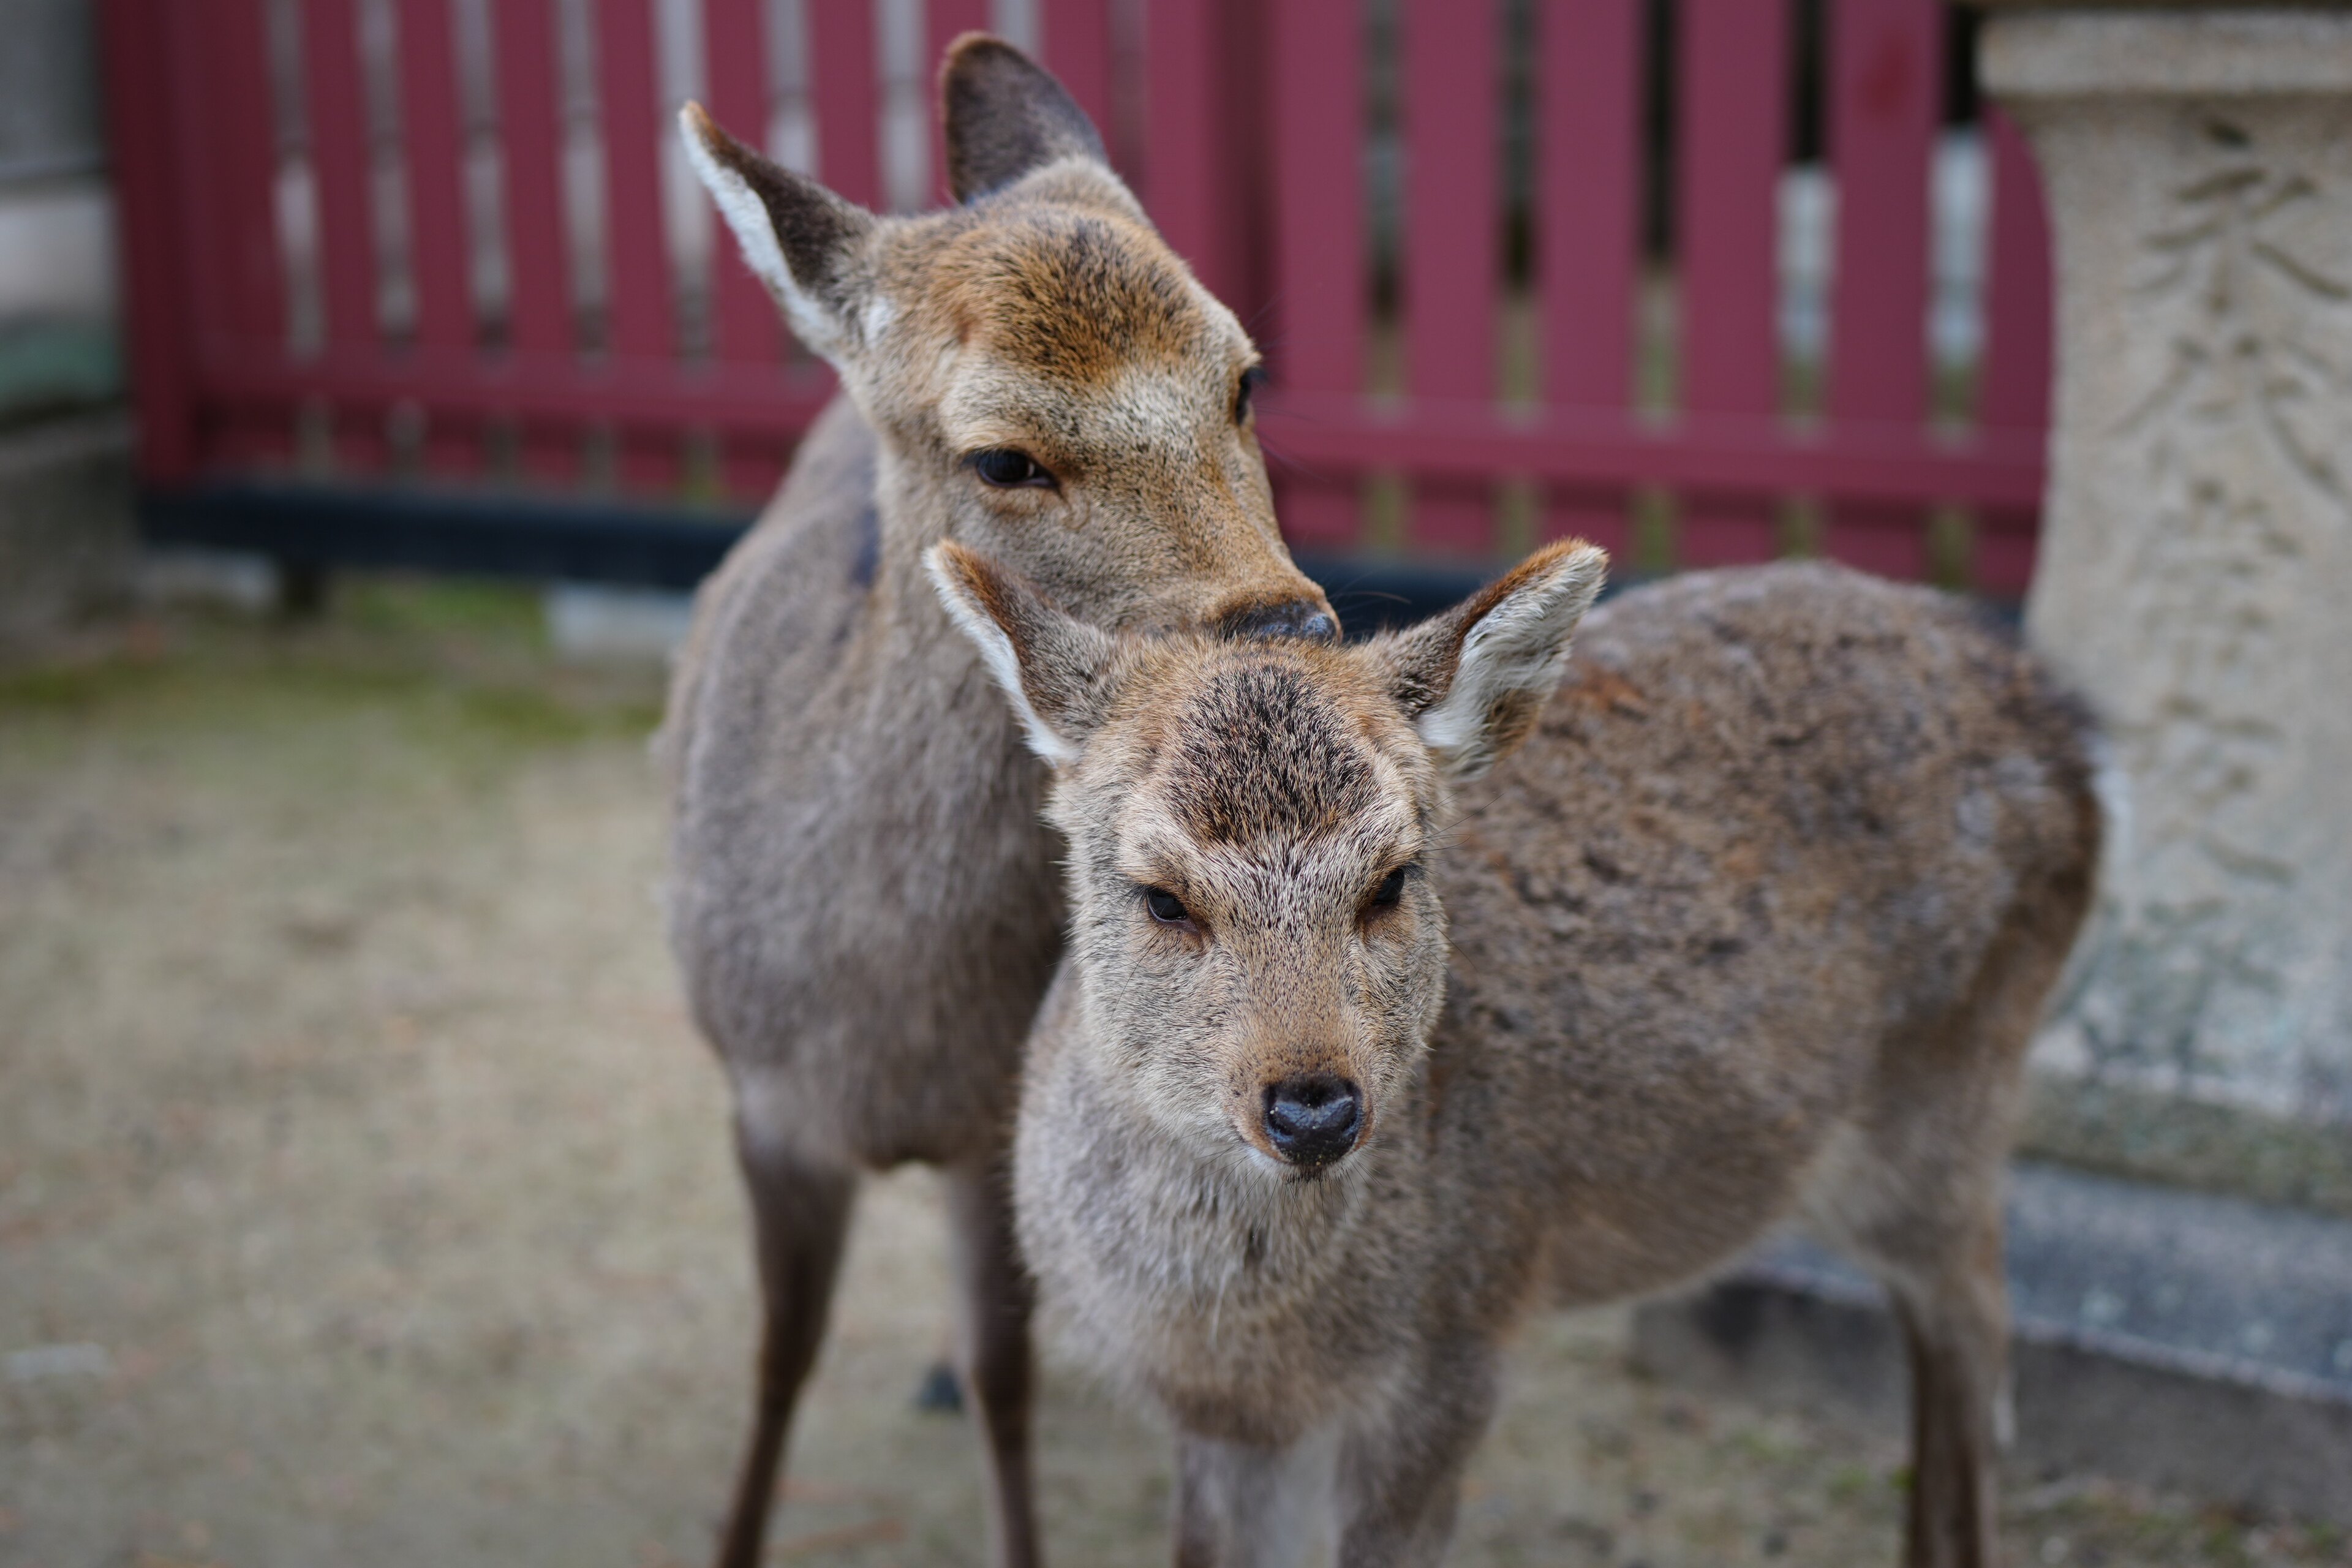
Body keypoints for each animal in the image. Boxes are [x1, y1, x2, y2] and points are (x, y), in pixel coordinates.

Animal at [662, 37, 1336, 1568]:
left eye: (1246, 378)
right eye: (1003, 455)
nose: (1288, 623)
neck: (881, 1026)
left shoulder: (990, 1122)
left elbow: (1005, 1374)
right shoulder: (757, 1095)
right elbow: (777, 1356)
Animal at [928, 537, 2105, 1568]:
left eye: (1394, 878)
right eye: (1162, 896)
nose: (1314, 1105)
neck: (1245, 1331)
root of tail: (2069, 731)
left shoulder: (1456, 1345)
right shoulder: (1226, 1421)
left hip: (1953, 1092)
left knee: (1980, 1329)